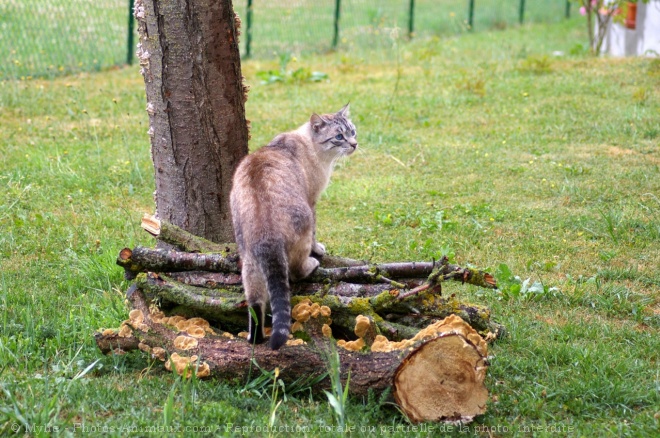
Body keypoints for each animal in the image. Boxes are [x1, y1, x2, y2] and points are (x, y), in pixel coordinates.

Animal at [229, 103, 358, 350]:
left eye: (353, 132)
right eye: (339, 137)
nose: (355, 144)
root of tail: (267, 237)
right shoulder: (313, 200)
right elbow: (317, 232)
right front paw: (319, 249)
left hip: (249, 260)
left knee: (255, 301)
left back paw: (255, 339)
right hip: (302, 226)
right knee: (296, 271)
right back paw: (312, 264)